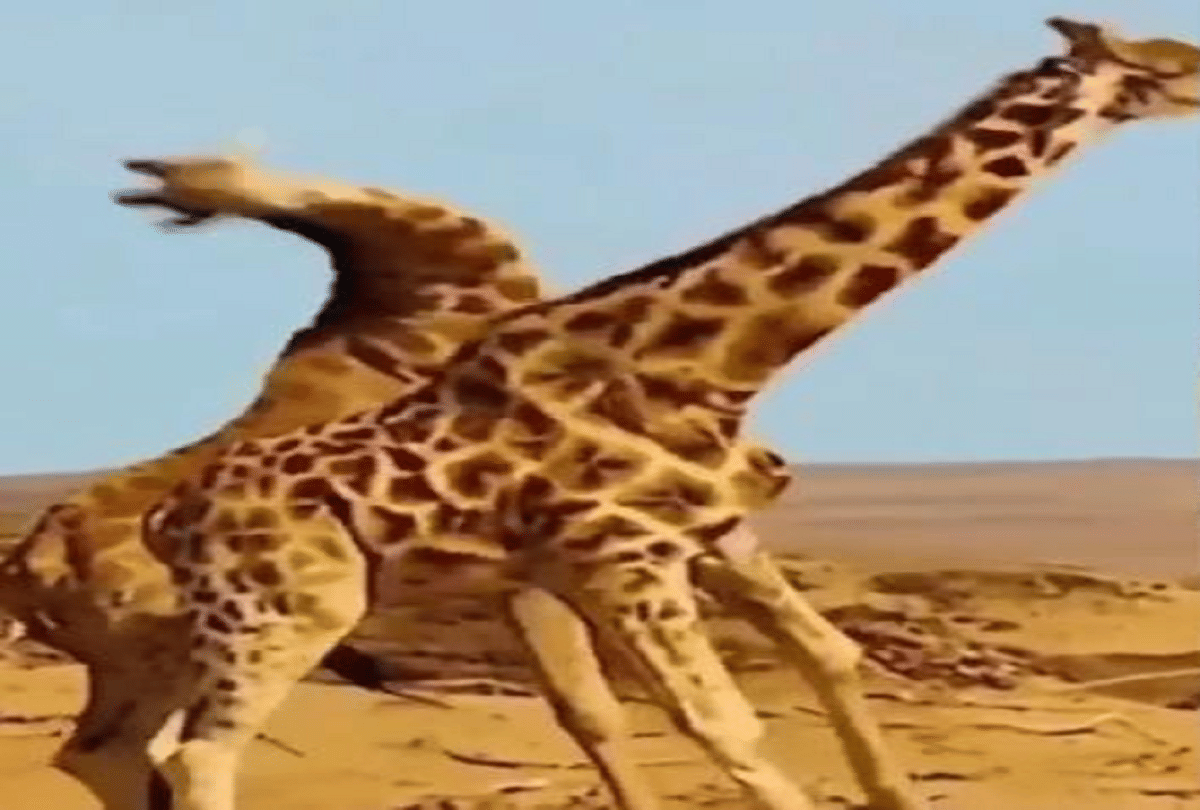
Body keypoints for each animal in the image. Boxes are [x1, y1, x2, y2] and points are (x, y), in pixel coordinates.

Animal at [0, 153, 546, 809]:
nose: (153, 181)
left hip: (144, 655)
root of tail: (27, 571)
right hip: (217, 635)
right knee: (163, 749)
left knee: (104, 750)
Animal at [134, 18, 1200, 810]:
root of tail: (170, 518)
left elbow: (830, 657)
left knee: (157, 746)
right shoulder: (622, 561)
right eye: (1168, 61)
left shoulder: (713, 534)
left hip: (238, 619)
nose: (1197, 85)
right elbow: (727, 731)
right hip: (294, 606)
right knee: (200, 755)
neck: (713, 361)